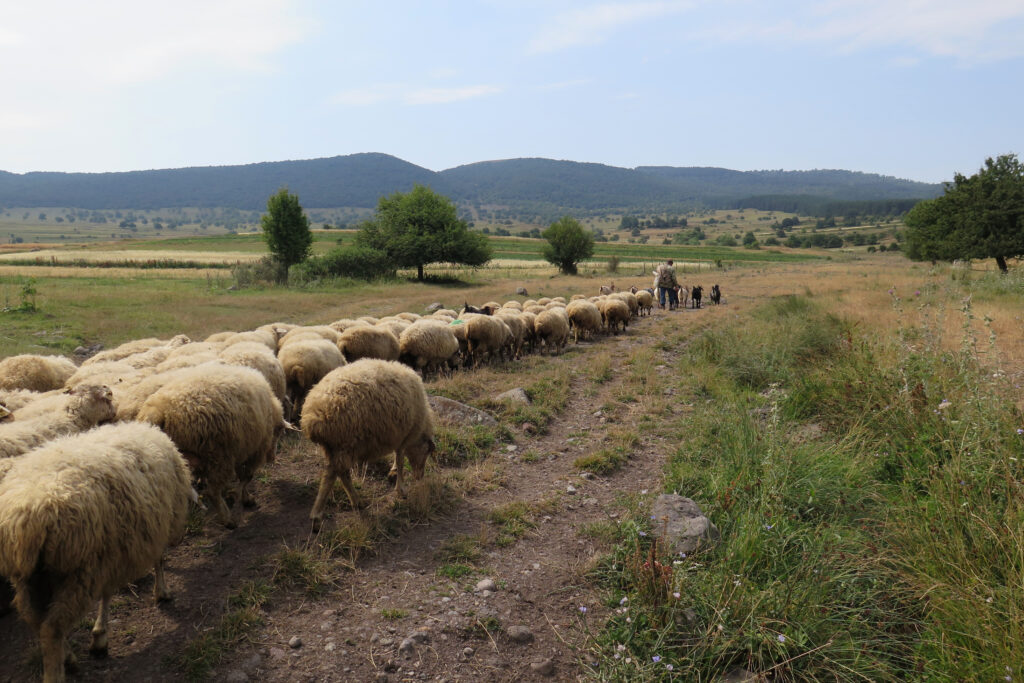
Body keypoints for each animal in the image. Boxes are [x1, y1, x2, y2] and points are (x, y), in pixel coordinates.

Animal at [0, 422, 192, 683]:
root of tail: (27, 516)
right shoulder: (149, 531)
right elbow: (157, 560)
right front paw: (161, 592)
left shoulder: (112, 551)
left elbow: (108, 591)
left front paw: (100, 634)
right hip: (77, 571)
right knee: (52, 627)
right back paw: (57, 671)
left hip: (30, 578)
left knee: (36, 620)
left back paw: (67, 656)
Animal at [137, 364, 284, 528]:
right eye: (279, 432)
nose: (273, 457)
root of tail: (158, 411)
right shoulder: (254, 450)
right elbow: (246, 477)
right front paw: (243, 497)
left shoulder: (240, 448)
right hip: (218, 456)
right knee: (213, 491)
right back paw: (227, 519)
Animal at [301, 359, 435, 527]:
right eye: (427, 452)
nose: (420, 477)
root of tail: (313, 416)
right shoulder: (405, 435)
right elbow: (400, 458)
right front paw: (401, 489)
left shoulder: (399, 435)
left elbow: (397, 455)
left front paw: (393, 473)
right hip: (345, 442)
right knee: (332, 474)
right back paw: (318, 514)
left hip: (333, 447)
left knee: (342, 473)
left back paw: (355, 501)